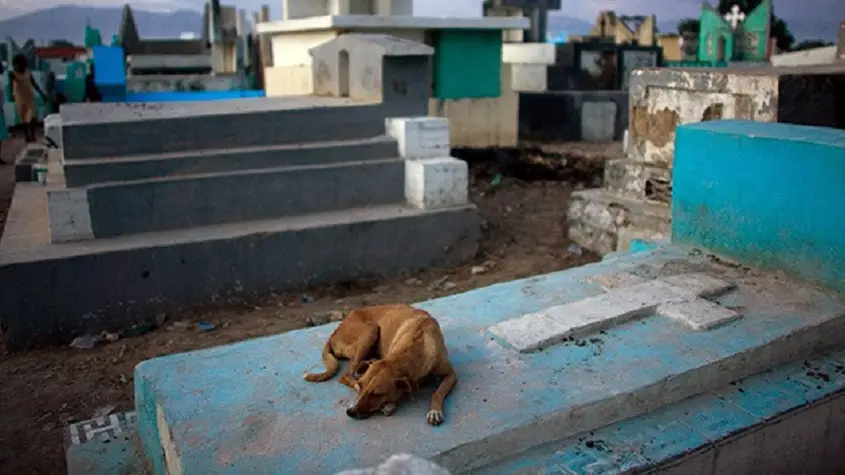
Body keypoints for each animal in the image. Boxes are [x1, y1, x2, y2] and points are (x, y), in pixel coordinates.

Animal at [304, 304, 458, 428]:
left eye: (377, 394)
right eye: (361, 386)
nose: (350, 412)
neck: (419, 343)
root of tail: (333, 334)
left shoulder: (451, 375)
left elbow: (437, 393)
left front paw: (434, 411)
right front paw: (390, 404)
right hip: (371, 330)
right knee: (346, 375)